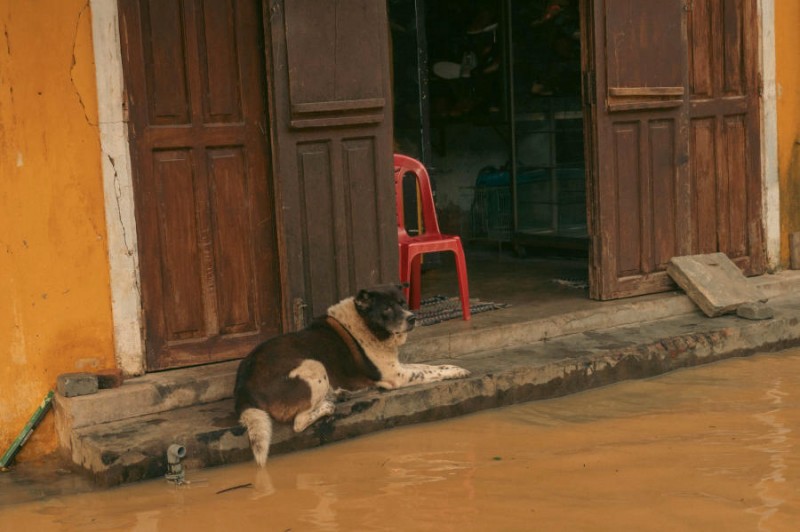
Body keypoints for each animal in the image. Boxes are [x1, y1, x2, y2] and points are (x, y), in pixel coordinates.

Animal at [231, 282, 468, 466]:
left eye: (403, 303)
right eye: (387, 308)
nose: (413, 318)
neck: (365, 323)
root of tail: (242, 389)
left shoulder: (397, 367)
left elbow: (429, 365)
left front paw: (455, 368)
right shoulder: (395, 376)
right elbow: (427, 371)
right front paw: (457, 372)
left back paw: (338, 394)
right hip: (314, 364)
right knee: (299, 421)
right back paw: (328, 405)